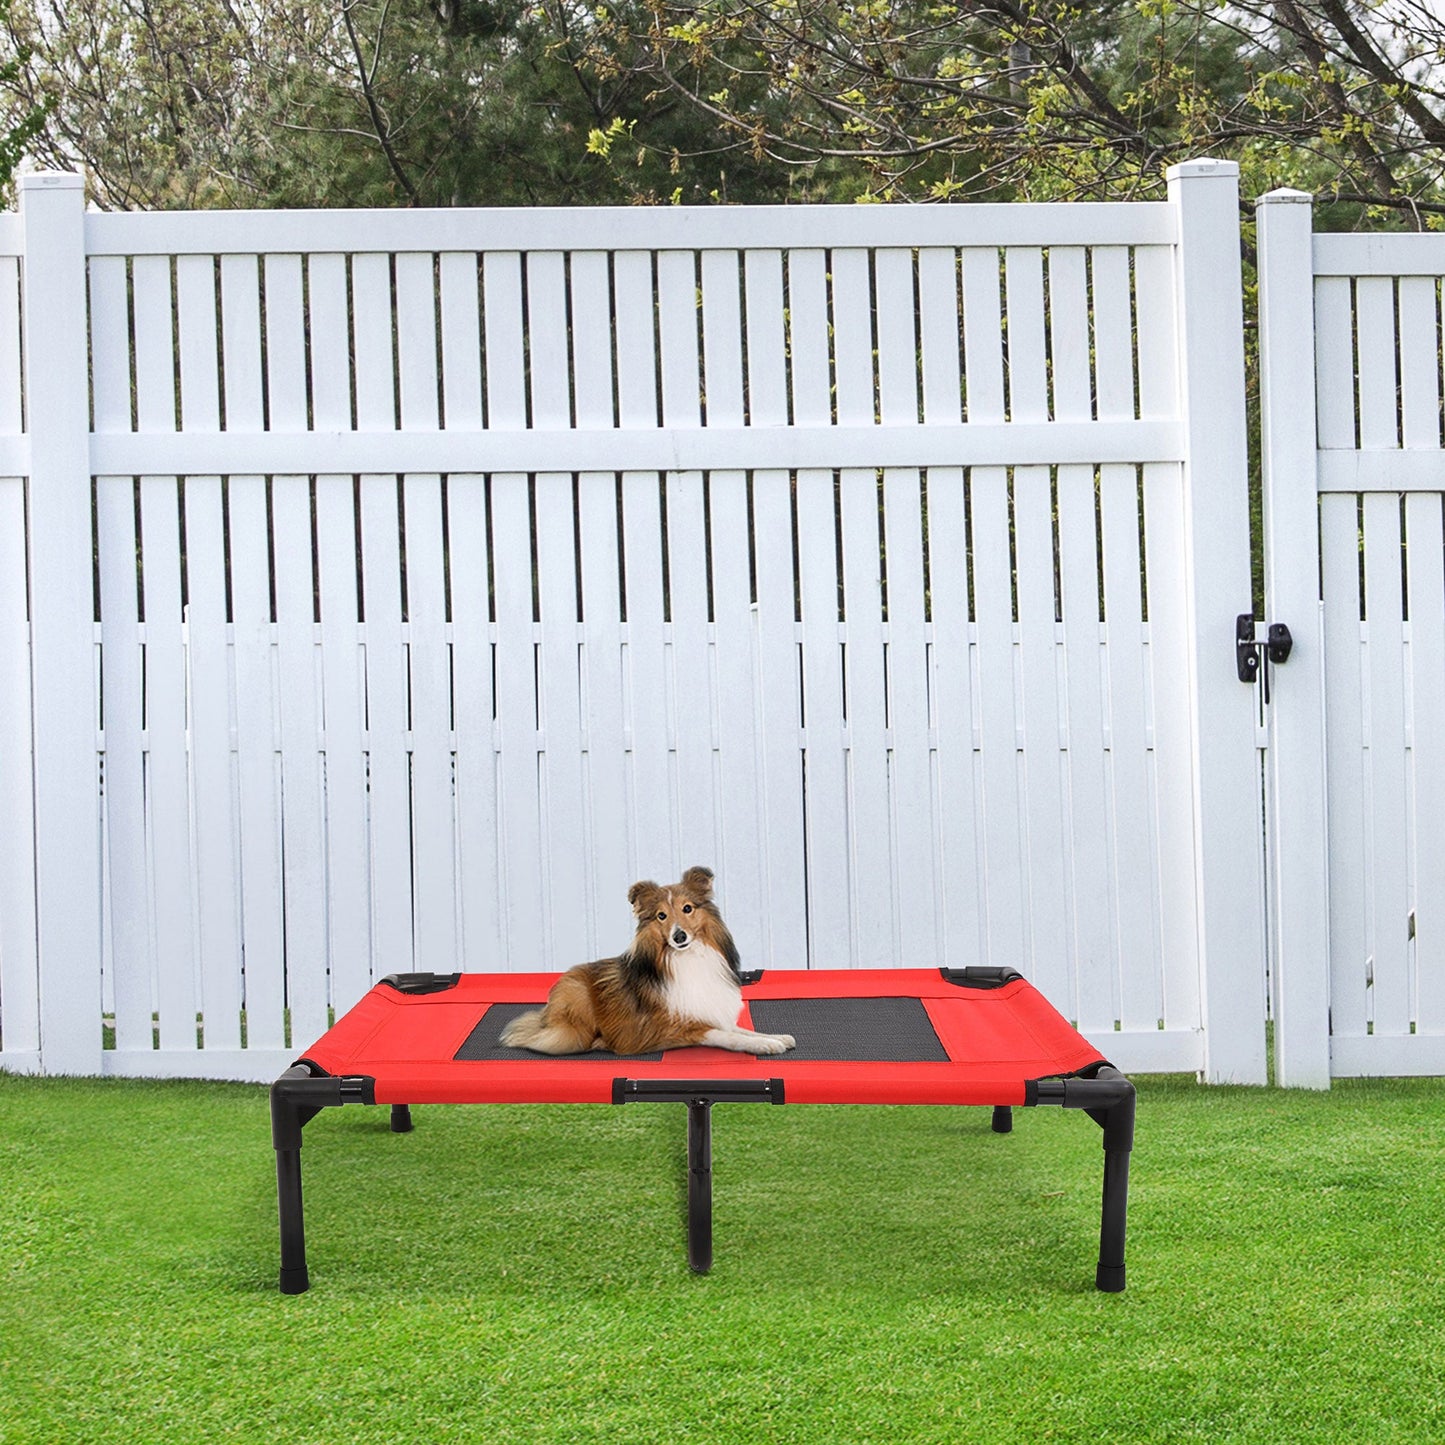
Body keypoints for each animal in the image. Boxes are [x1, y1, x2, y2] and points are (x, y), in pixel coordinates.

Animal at [494, 861, 791, 1057]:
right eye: (661, 916)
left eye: (688, 909)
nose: (679, 936)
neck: (686, 959)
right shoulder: (676, 1027)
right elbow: (727, 1036)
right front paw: (764, 1045)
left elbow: (742, 1030)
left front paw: (776, 1037)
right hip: (575, 1004)